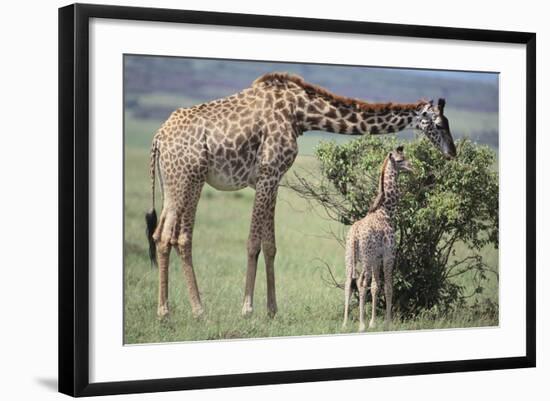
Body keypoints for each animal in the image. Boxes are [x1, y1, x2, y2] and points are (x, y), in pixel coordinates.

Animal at [344, 145, 414, 330]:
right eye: (400, 160)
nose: (412, 168)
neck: (386, 211)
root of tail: (354, 233)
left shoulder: (377, 258)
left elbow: (376, 286)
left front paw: (373, 323)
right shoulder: (389, 255)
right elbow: (388, 286)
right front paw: (388, 322)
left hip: (349, 258)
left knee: (348, 283)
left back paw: (345, 323)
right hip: (366, 258)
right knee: (361, 283)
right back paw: (360, 325)